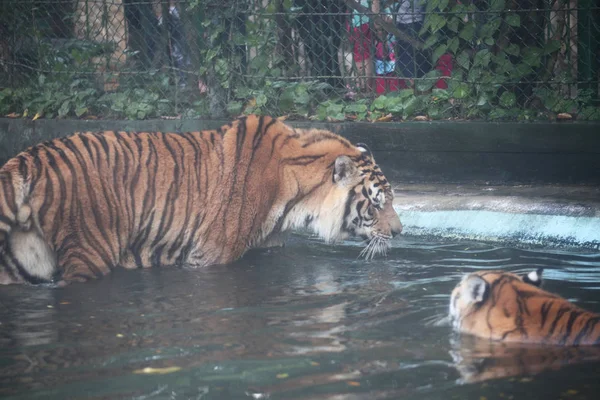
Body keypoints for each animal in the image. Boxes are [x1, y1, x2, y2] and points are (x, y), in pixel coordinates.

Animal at [1, 115, 404, 284]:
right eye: (377, 203)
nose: (400, 232)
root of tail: (28, 157)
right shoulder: (211, 254)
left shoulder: (267, 247)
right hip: (89, 248)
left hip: (23, 258)